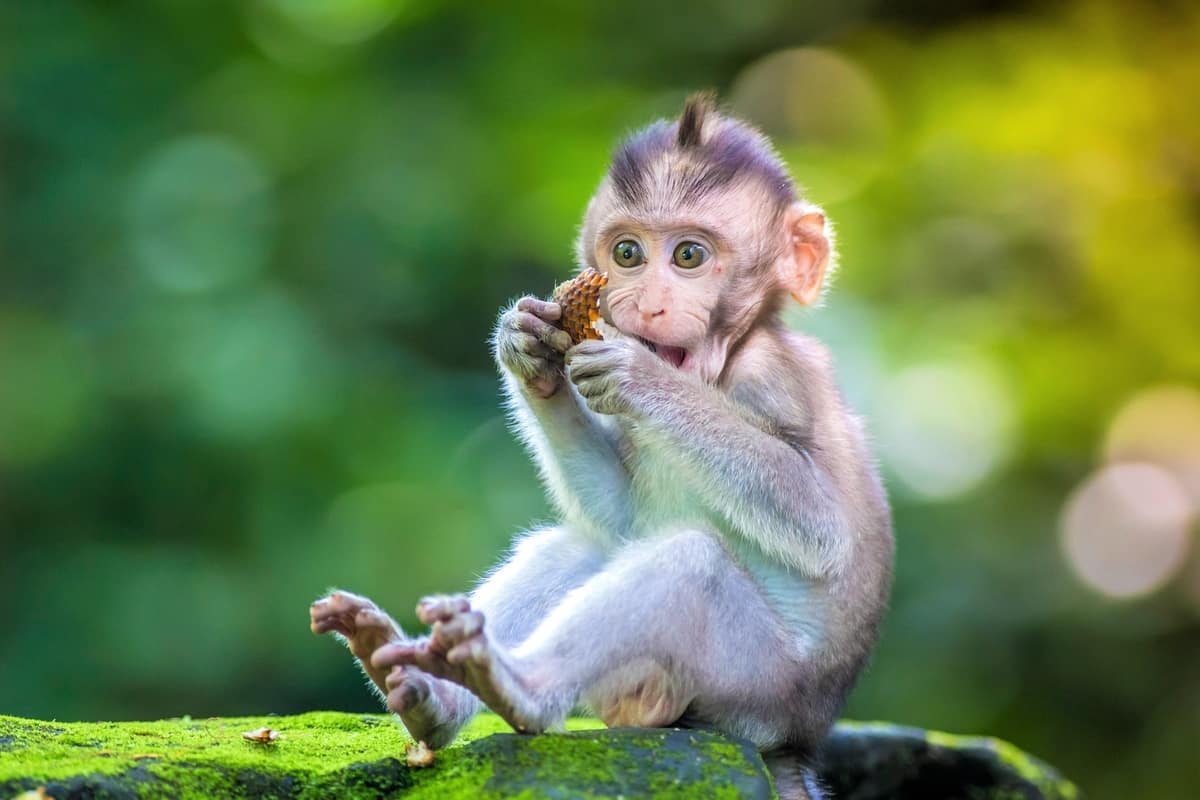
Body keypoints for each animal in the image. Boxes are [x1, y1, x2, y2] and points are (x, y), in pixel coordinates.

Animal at [309, 94, 892, 796]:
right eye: (629, 253)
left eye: (689, 256)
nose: (645, 302)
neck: (719, 370)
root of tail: (798, 741)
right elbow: (621, 516)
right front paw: (527, 351)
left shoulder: (774, 379)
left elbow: (821, 528)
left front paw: (637, 375)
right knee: (578, 547)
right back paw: (428, 693)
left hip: (752, 690)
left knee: (691, 567)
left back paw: (520, 688)